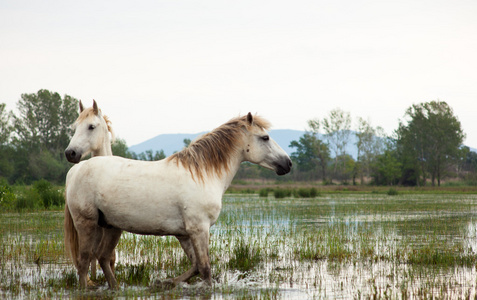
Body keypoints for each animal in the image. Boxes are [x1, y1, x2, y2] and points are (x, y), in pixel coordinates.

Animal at [63, 112, 290, 288]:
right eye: (265, 137)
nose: (287, 163)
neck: (202, 174)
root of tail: (75, 170)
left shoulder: (184, 234)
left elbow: (196, 266)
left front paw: (166, 282)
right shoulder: (199, 229)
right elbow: (205, 268)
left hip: (112, 227)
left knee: (102, 257)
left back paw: (117, 288)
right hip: (87, 224)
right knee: (84, 261)